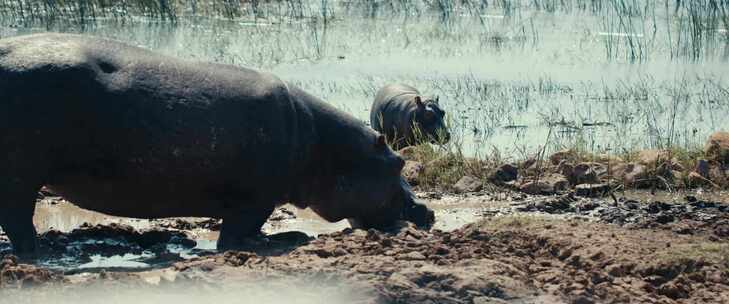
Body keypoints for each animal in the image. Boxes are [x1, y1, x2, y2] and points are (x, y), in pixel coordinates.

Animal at [0, 33, 432, 255]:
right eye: (398, 163)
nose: (427, 212)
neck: (328, 149)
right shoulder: (256, 199)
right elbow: (238, 235)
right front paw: (287, 239)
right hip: (20, 175)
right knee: (18, 219)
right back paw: (40, 252)